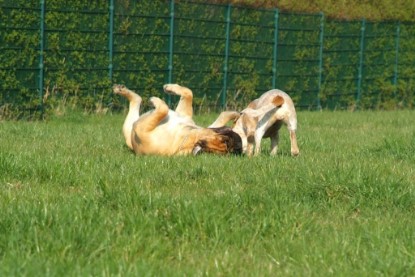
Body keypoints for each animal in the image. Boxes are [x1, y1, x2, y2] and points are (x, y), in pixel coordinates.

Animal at [114, 83, 244, 155]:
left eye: (226, 141)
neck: (188, 137)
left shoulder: (141, 129)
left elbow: (163, 109)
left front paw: (155, 100)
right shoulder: (184, 115)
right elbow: (188, 92)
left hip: (129, 127)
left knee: (137, 100)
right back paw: (121, 89)